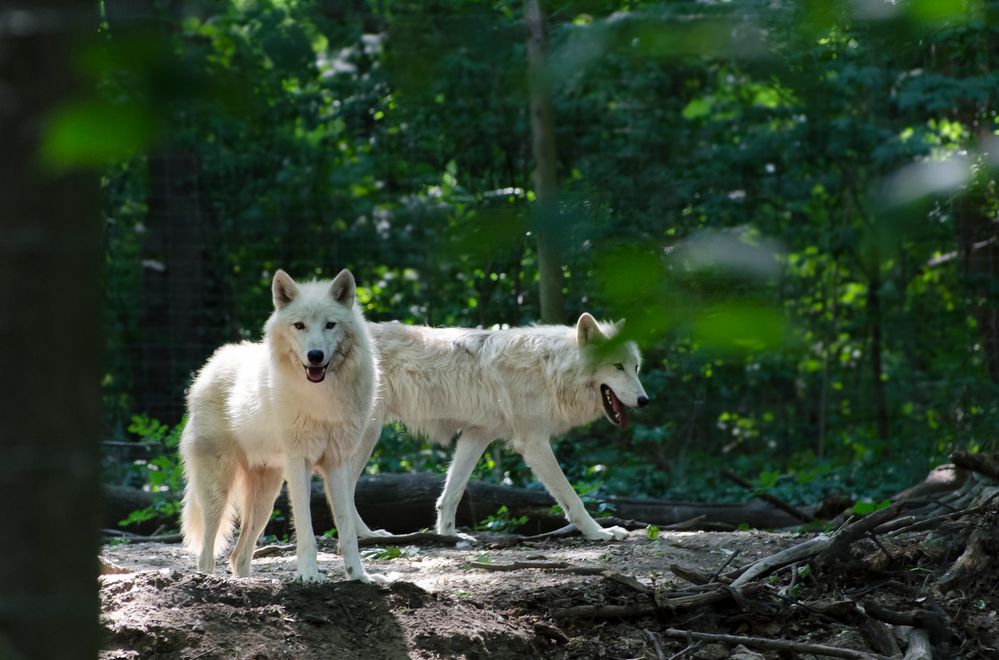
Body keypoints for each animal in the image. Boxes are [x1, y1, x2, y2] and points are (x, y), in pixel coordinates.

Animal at [178, 268, 384, 584]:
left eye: (330, 325)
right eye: (299, 325)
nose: (315, 355)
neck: (322, 399)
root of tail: (208, 367)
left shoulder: (336, 463)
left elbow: (347, 530)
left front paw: (359, 576)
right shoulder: (299, 462)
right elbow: (306, 529)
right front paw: (309, 575)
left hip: (265, 498)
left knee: (239, 556)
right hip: (218, 491)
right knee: (207, 553)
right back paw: (208, 580)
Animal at [350, 314, 648, 540]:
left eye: (635, 367)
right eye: (617, 366)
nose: (645, 400)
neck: (550, 369)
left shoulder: (477, 435)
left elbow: (451, 494)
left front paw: (450, 536)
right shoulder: (533, 442)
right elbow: (572, 497)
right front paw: (600, 533)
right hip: (366, 436)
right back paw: (365, 536)